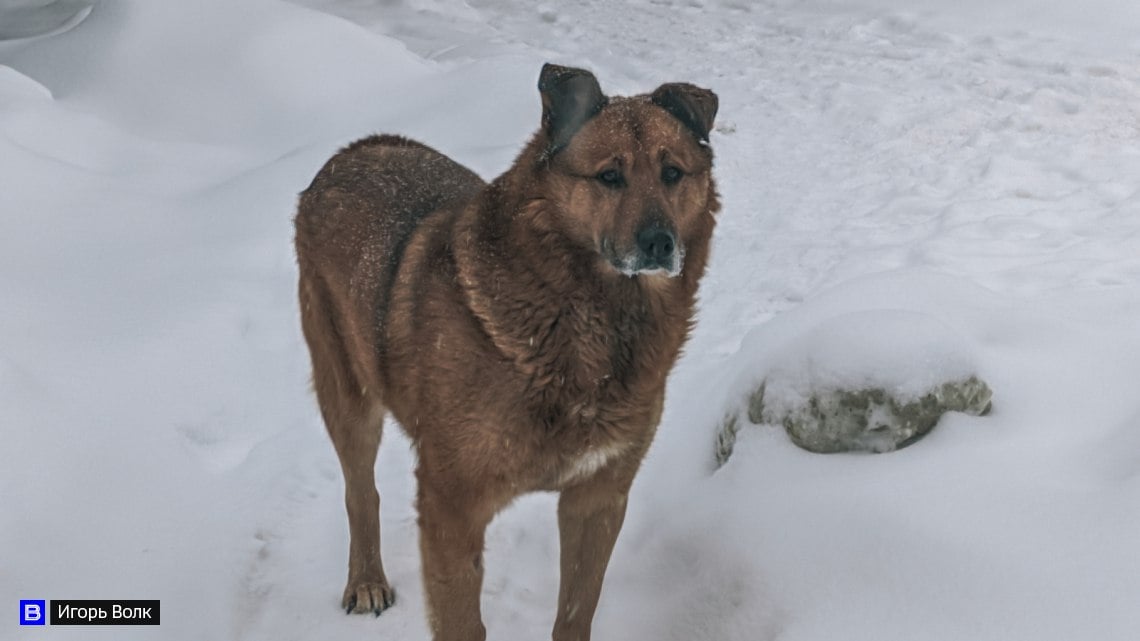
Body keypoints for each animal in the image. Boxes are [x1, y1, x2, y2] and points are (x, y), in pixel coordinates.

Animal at [298, 63, 715, 638]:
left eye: (673, 173)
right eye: (609, 177)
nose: (660, 243)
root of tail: (356, 149)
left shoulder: (598, 496)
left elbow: (575, 611)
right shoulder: (452, 505)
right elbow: (463, 623)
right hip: (347, 392)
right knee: (361, 490)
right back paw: (366, 580)